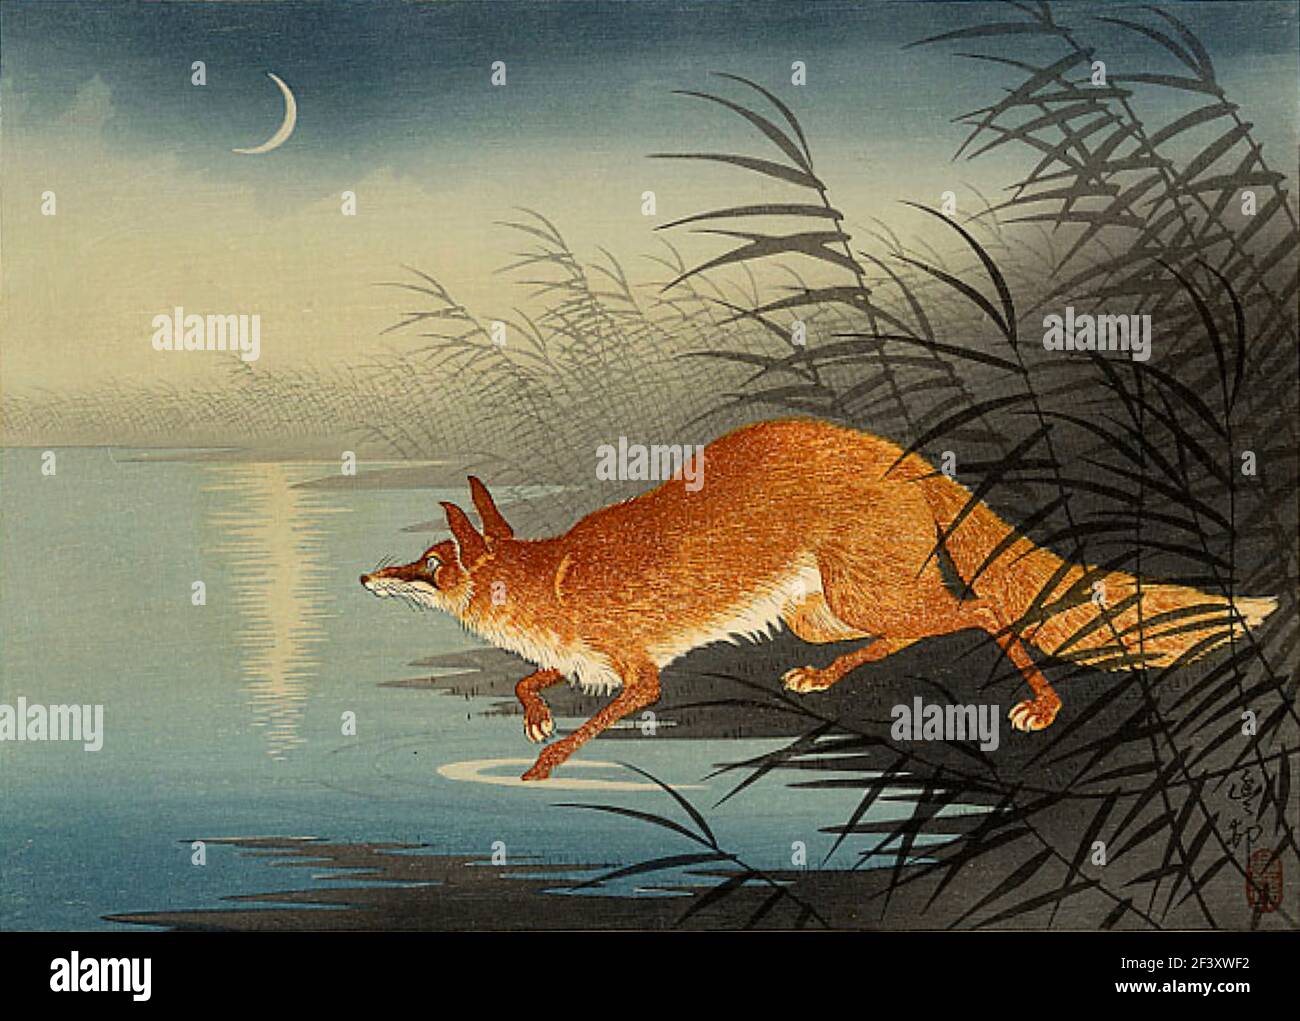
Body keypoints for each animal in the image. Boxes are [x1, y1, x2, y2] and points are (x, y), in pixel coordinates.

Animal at [361, 418, 1277, 781]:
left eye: (432, 562)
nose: (368, 577)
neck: (540, 579)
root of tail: (908, 461)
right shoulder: (589, 658)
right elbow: (531, 679)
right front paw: (534, 713)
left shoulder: (637, 671)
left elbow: (605, 713)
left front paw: (541, 765)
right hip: (820, 607)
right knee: (907, 631)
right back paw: (823, 679)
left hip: (866, 590)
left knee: (982, 611)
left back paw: (1042, 704)